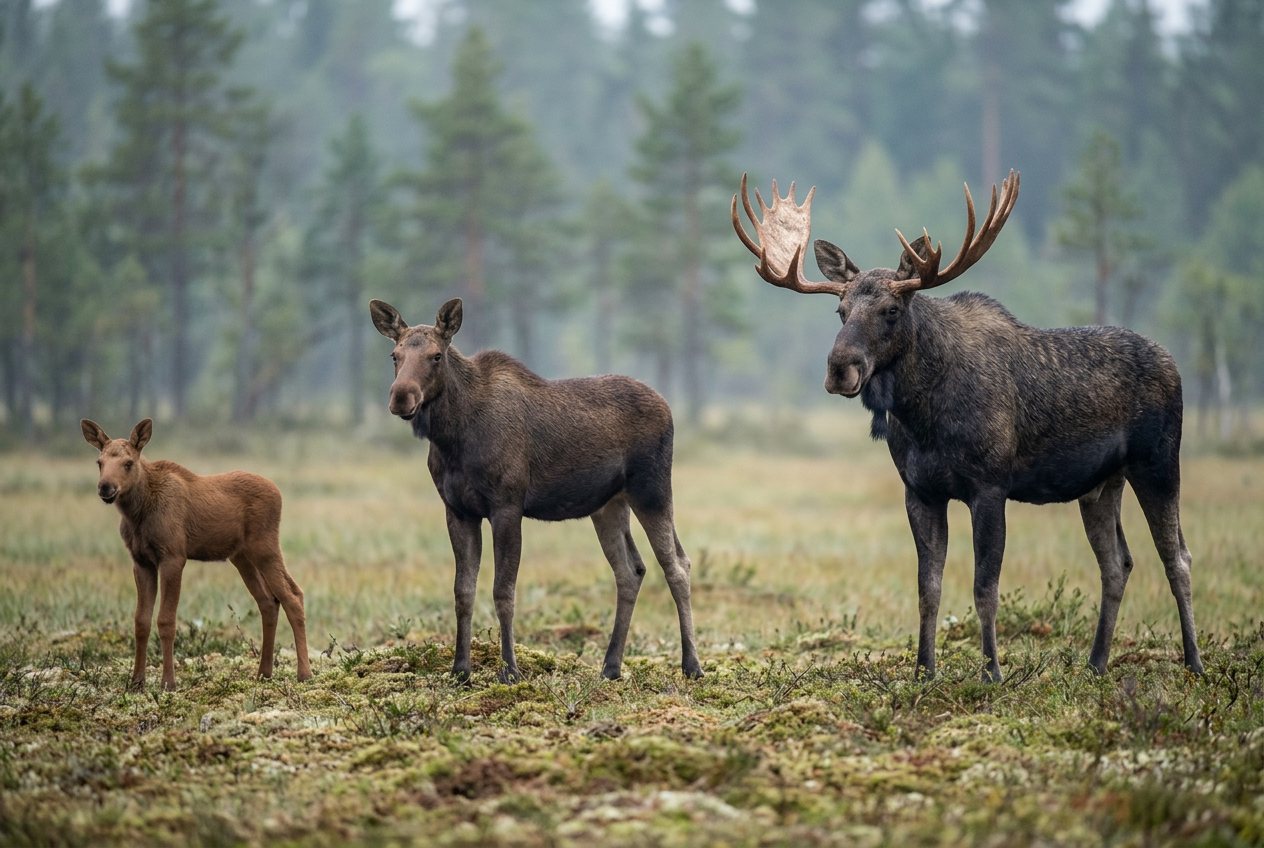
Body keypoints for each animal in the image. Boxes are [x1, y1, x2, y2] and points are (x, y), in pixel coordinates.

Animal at [81, 418, 312, 691]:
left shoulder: (173, 557)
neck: (137, 513)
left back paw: (304, 673)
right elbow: (141, 621)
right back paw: (264, 673)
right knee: (268, 602)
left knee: (293, 596)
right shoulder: (141, 561)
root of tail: (279, 493)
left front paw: (168, 682)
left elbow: (166, 620)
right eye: (99, 462)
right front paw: (137, 682)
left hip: (265, 548)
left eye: (128, 463)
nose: (106, 488)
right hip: (242, 557)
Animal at [369, 297, 702, 683]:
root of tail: (668, 406)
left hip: (652, 488)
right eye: (394, 354)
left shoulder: (507, 506)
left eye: (436, 355)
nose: (401, 397)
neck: (452, 438)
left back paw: (691, 665)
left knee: (677, 564)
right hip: (608, 504)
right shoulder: (458, 510)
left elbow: (503, 591)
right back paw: (610, 666)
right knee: (631, 570)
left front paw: (510, 670)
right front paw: (460, 670)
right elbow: (463, 591)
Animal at [732, 170, 1203, 682]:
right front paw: (924, 670)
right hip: (1100, 483)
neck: (924, 416)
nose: (840, 369)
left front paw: (992, 672)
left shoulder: (990, 487)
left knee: (1177, 556)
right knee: (1118, 563)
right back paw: (1096, 663)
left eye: (891, 310)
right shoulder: (920, 491)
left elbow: (984, 588)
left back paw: (1194, 662)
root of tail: (1175, 363)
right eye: (840, 312)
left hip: (1159, 461)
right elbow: (928, 587)